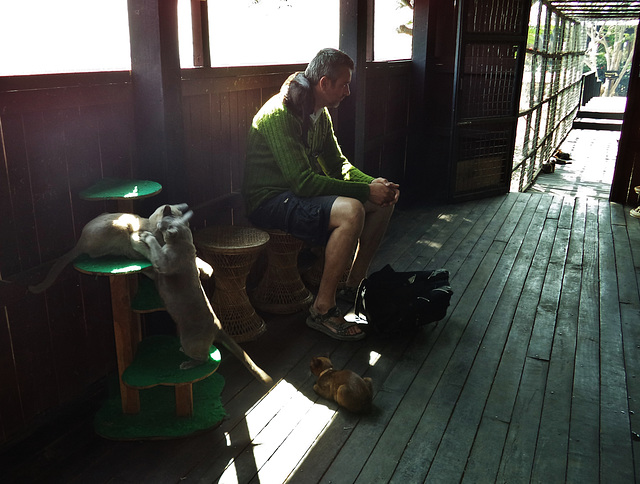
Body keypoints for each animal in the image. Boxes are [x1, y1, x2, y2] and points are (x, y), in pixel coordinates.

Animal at [29, 202, 212, 294]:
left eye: (187, 225)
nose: (187, 232)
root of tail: (79, 240)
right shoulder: (138, 238)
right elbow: (154, 253)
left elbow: (196, 258)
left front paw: (206, 270)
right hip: (122, 227)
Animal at [132, 208, 272, 386]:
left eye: (162, 225)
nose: (157, 224)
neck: (184, 243)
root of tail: (218, 326)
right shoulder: (157, 271)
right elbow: (150, 268)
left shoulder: (162, 263)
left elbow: (153, 248)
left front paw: (143, 236)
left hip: (187, 339)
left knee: (204, 358)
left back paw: (187, 363)